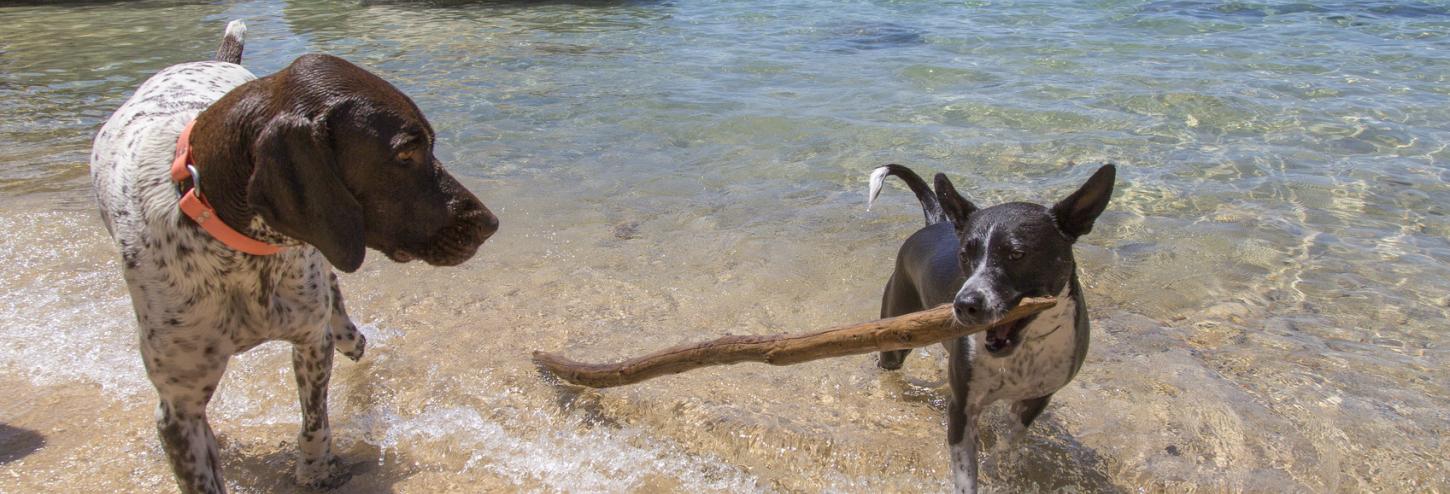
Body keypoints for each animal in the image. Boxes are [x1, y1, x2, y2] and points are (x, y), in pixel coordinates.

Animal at [92, 21, 498, 489]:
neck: (239, 255)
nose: (490, 223)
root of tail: (216, 60)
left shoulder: (310, 341)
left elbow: (314, 422)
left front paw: (316, 469)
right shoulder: (178, 409)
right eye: (405, 153)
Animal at [864, 163, 1113, 489]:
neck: (1024, 348)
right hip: (897, 330)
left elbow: (1011, 439)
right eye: (964, 256)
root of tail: (935, 222)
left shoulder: (1037, 398)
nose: (964, 304)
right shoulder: (961, 409)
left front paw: (999, 465)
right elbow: (965, 475)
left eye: (1017, 254)